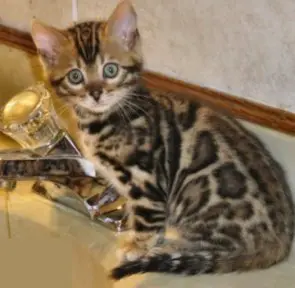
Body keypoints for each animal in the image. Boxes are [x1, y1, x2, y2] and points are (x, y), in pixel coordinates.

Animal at [31, 0, 294, 280]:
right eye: (75, 76)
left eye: (110, 70)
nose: (96, 93)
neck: (106, 118)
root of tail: (280, 242)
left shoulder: (145, 179)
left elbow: (148, 217)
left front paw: (138, 246)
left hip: (196, 193)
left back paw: (172, 248)